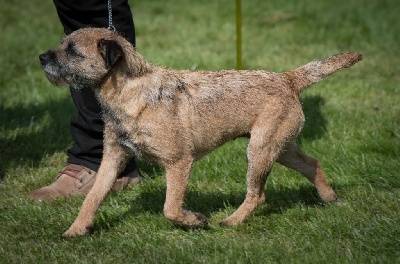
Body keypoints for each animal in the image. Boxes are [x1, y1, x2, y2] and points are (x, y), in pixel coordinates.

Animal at [38, 27, 362, 237]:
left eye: (73, 52)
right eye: (63, 44)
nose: (41, 57)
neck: (130, 92)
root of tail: (287, 78)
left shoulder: (178, 163)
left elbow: (170, 207)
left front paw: (194, 221)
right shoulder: (112, 159)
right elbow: (93, 196)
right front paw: (77, 229)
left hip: (260, 151)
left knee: (257, 195)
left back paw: (231, 222)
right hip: (279, 148)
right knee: (311, 164)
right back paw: (329, 198)